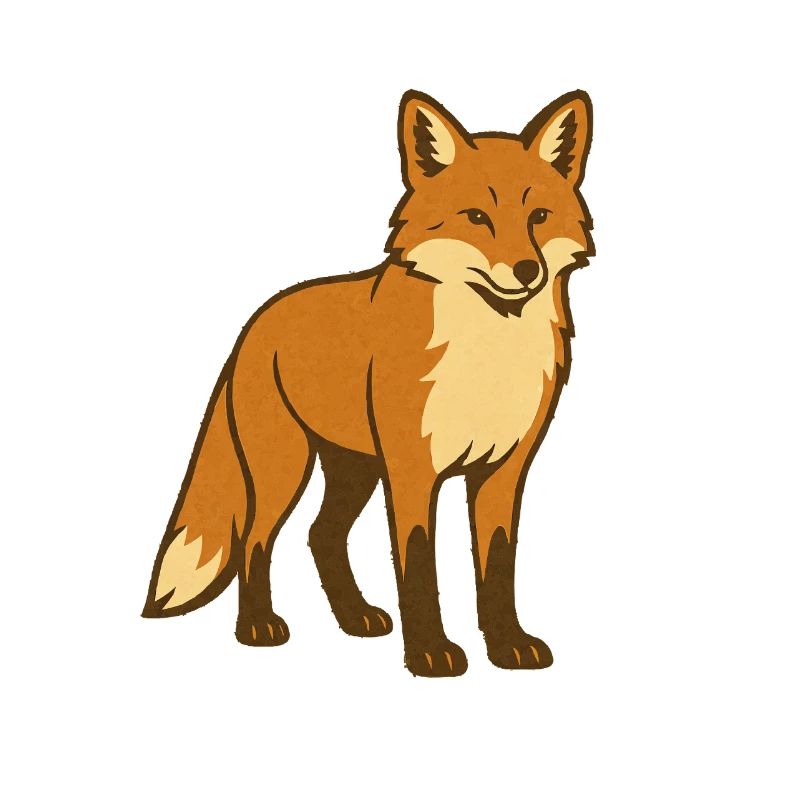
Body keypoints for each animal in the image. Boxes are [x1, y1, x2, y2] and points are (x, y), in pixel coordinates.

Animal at [143, 89, 594, 676]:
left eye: (539, 217)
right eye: (476, 217)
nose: (525, 270)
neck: (485, 353)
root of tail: (259, 317)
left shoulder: (502, 471)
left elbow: (497, 566)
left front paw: (506, 644)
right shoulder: (412, 468)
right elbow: (418, 565)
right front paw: (429, 652)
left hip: (355, 469)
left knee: (321, 536)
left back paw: (355, 617)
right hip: (285, 466)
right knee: (256, 540)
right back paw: (257, 627)